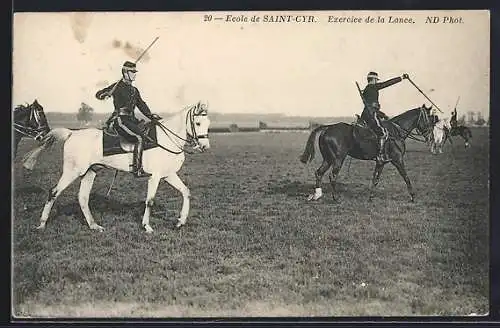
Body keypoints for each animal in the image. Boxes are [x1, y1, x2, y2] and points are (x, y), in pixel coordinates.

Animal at [23, 102, 211, 233]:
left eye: (208, 123)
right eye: (198, 123)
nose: (205, 147)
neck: (165, 139)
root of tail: (72, 133)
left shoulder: (169, 175)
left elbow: (186, 192)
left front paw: (180, 222)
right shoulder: (155, 177)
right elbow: (150, 201)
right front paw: (147, 226)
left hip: (90, 172)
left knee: (82, 198)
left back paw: (94, 226)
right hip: (72, 171)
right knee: (53, 192)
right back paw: (41, 225)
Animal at [300, 105, 434, 202]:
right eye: (428, 118)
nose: (430, 137)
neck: (395, 132)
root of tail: (327, 128)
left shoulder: (381, 162)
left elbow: (376, 179)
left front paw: (370, 197)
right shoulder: (398, 160)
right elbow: (406, 177)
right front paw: (412, 196)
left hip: (328, 159)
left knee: (319, 173)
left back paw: (316, 195)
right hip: (338, 159)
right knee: (332, 176)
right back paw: (335, 198)